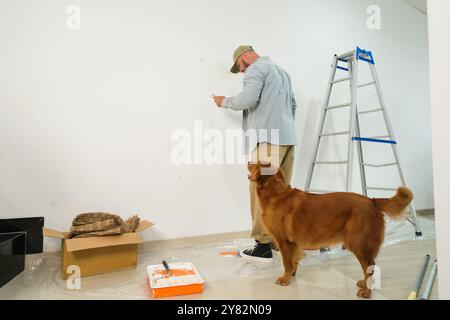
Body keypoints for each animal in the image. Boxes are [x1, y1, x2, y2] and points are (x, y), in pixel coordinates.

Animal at [248, 161, 414, 298]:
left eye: (256, 163)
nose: (248, 162)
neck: (275, 193)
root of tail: (372, 201)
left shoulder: (284, 242)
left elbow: (286, 263)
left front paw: (284, 279)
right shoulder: (294, 244)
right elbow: (294, 262)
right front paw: (292, 275)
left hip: (358, 243)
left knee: (370, 267)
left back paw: (366, 292)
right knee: (369, 267)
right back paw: (363, 283)